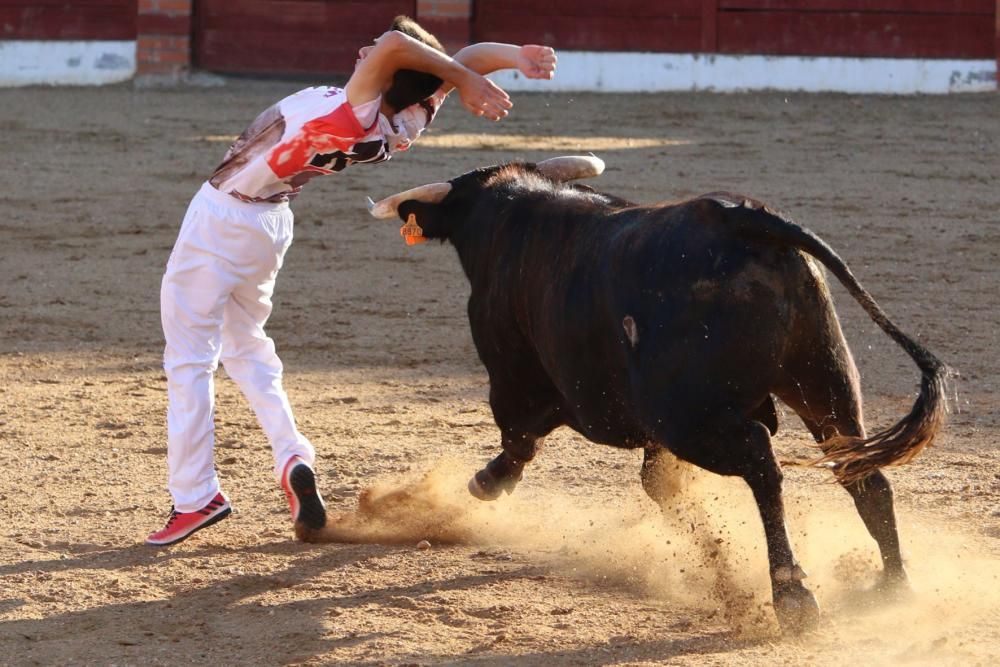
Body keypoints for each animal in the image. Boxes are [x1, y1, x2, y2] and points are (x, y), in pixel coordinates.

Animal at [366, 155, 944, 632]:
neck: (511, 219)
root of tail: (741, 217)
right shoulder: (645, 430)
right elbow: (658, 483)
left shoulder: (514, 377)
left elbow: (518, 436)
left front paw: (488, 482)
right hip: (824, 383)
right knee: (862, 474)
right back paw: (894, 587)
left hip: (690, 418)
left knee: (763, 463)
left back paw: (793, 596)